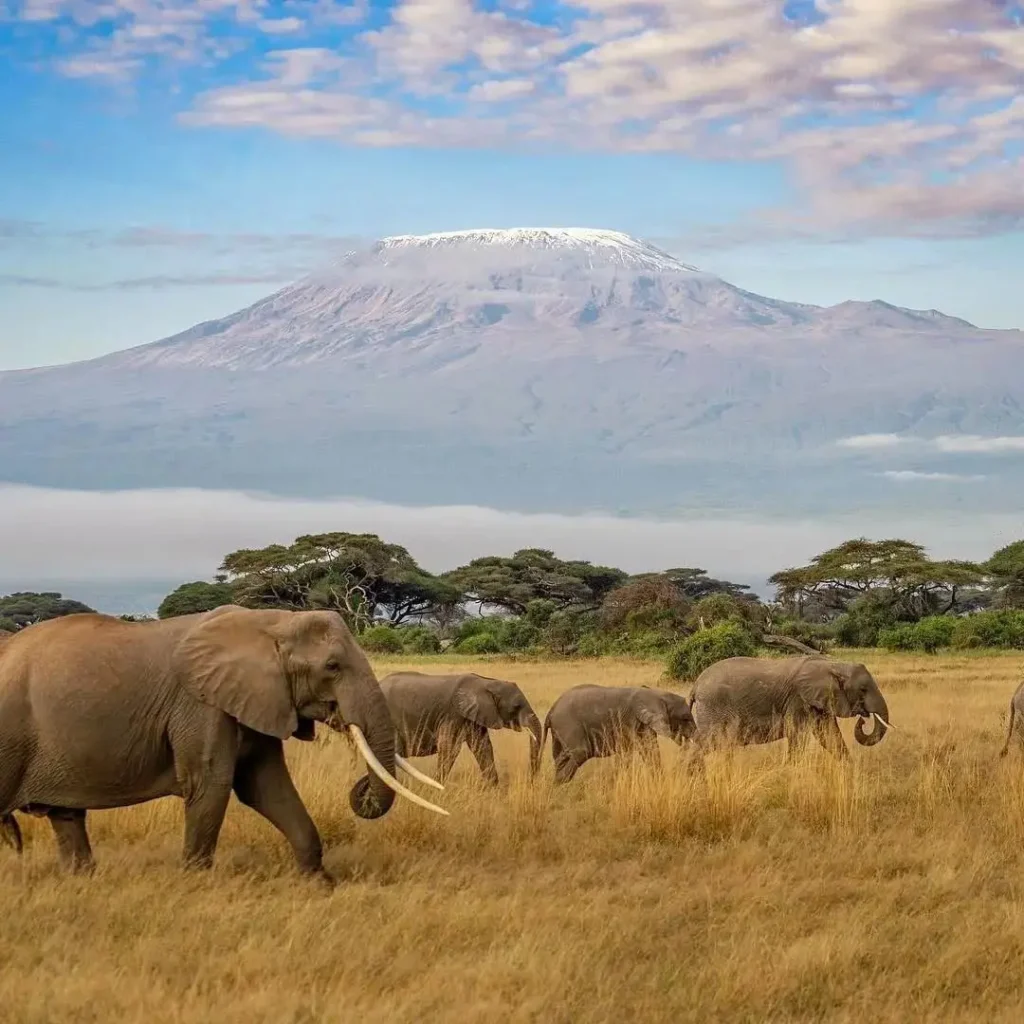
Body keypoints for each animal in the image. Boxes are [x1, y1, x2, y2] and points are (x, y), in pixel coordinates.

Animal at [0, 605, 447, 878]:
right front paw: (195, 883)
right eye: (332, 667)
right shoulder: (200, 704)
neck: (271, 622)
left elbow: (267, 787)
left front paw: (320, 885)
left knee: (66, 817)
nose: (360, 788)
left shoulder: (257, 700)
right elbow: (211, 785)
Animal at [378, 671, 543, 785]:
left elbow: (483, 747)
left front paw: (494, 788)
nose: (531, 781)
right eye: (516, 707)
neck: (486, 683)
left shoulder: (474, 715)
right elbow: (449, 747)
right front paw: (437, 785)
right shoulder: (452, 714)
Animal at [541, 684, 697, 783]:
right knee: (580, 752)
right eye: (685, 718)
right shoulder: (631, 721)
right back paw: (560, 784)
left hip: (559, 730)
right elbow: (646, 749)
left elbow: (648, 749)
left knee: (560, 757)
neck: (657, 695)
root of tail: (552, 710)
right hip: (568, 723)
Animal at [689, 655, 892, 760]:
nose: (863, 718)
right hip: (713, 708)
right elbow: (797, 735)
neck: (833, 664)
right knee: (708, 742)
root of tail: (696, 685)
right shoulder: (798, 700)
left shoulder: (820, 702)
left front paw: (848, 770)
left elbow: (829, 735)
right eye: (863, 689)